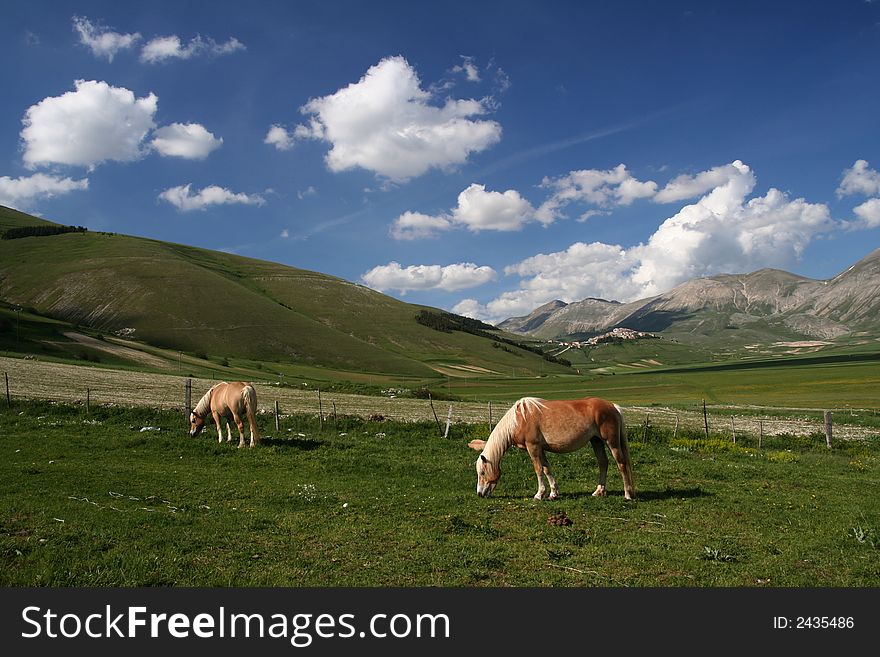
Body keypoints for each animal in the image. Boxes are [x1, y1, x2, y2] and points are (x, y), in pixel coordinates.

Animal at [468, 398, 632, 500]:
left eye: (482, 473)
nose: (479, 494)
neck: (519, 419)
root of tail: (613, 406)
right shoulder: (540, 449)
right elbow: (547, 469)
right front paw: (553, 493)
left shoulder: (533, 447)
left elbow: (538, 469)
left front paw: (539, 495)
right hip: (596, 441)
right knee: (603, 463)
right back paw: (599, 492)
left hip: (611, 442)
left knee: (622, 465)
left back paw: (628, 494)